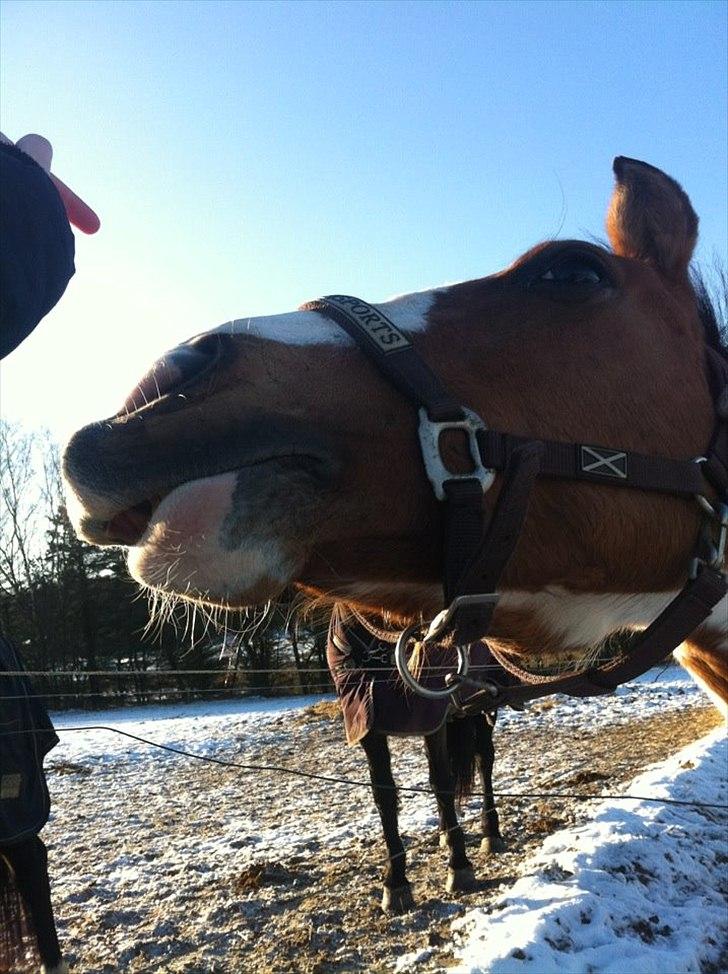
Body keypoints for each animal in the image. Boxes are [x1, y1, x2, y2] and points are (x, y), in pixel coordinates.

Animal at [61, 154, 728, 900]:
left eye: (573, 273)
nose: (153, 390)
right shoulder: (372, 724)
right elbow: (387, 796)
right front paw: (398, 879)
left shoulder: (437, 714)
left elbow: (439, 783)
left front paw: (457, 863)